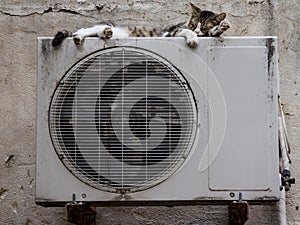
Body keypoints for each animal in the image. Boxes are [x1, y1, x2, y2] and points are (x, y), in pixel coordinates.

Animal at [52, 2, 230, 48]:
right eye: (193, 25)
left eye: (204, 27)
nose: (198, 32)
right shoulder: (171, 31)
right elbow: (183, 31)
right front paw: (193, 38)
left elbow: (216, 33)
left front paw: (222, 26)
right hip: (105, 26)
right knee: (86, 29)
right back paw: (79, 36)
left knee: (100, 33)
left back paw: (106, 33)